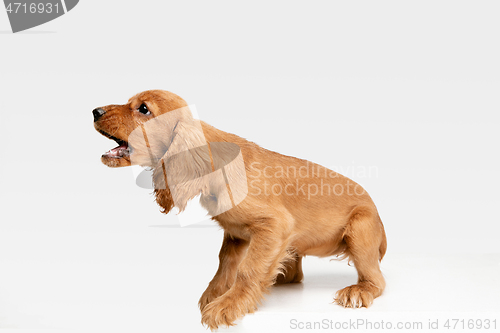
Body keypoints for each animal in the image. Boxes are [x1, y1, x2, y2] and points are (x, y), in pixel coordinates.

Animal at [93, 89, 386, 328]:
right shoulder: (235, 234)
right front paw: (216, 295)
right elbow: (226, 264)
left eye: (143, 109)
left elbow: (247, 270)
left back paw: (358, 290)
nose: (95, 111)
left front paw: (227, 305)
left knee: (377, 280)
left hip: (359, 229)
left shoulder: (274, 224)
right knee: (293, 273)